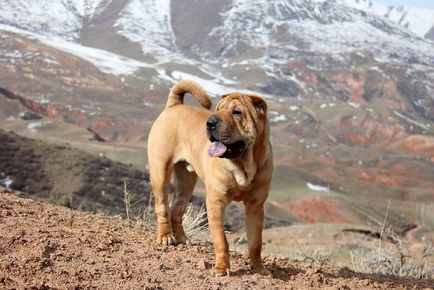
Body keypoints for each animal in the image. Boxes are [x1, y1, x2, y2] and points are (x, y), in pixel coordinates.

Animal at [147, 79, 272, 276]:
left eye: (237, 112)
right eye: (217, 110)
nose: (210, 122)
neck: (243, 166)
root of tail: (174, 106)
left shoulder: (255, 206)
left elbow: (255, 242)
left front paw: (259, 268)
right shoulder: (216, 202)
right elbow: (221, 240)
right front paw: (221, 268)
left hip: (186, 181)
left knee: (176, 209)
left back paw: (182, 240)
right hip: (160, 171)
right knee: (162, 207)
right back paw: (165, 237)